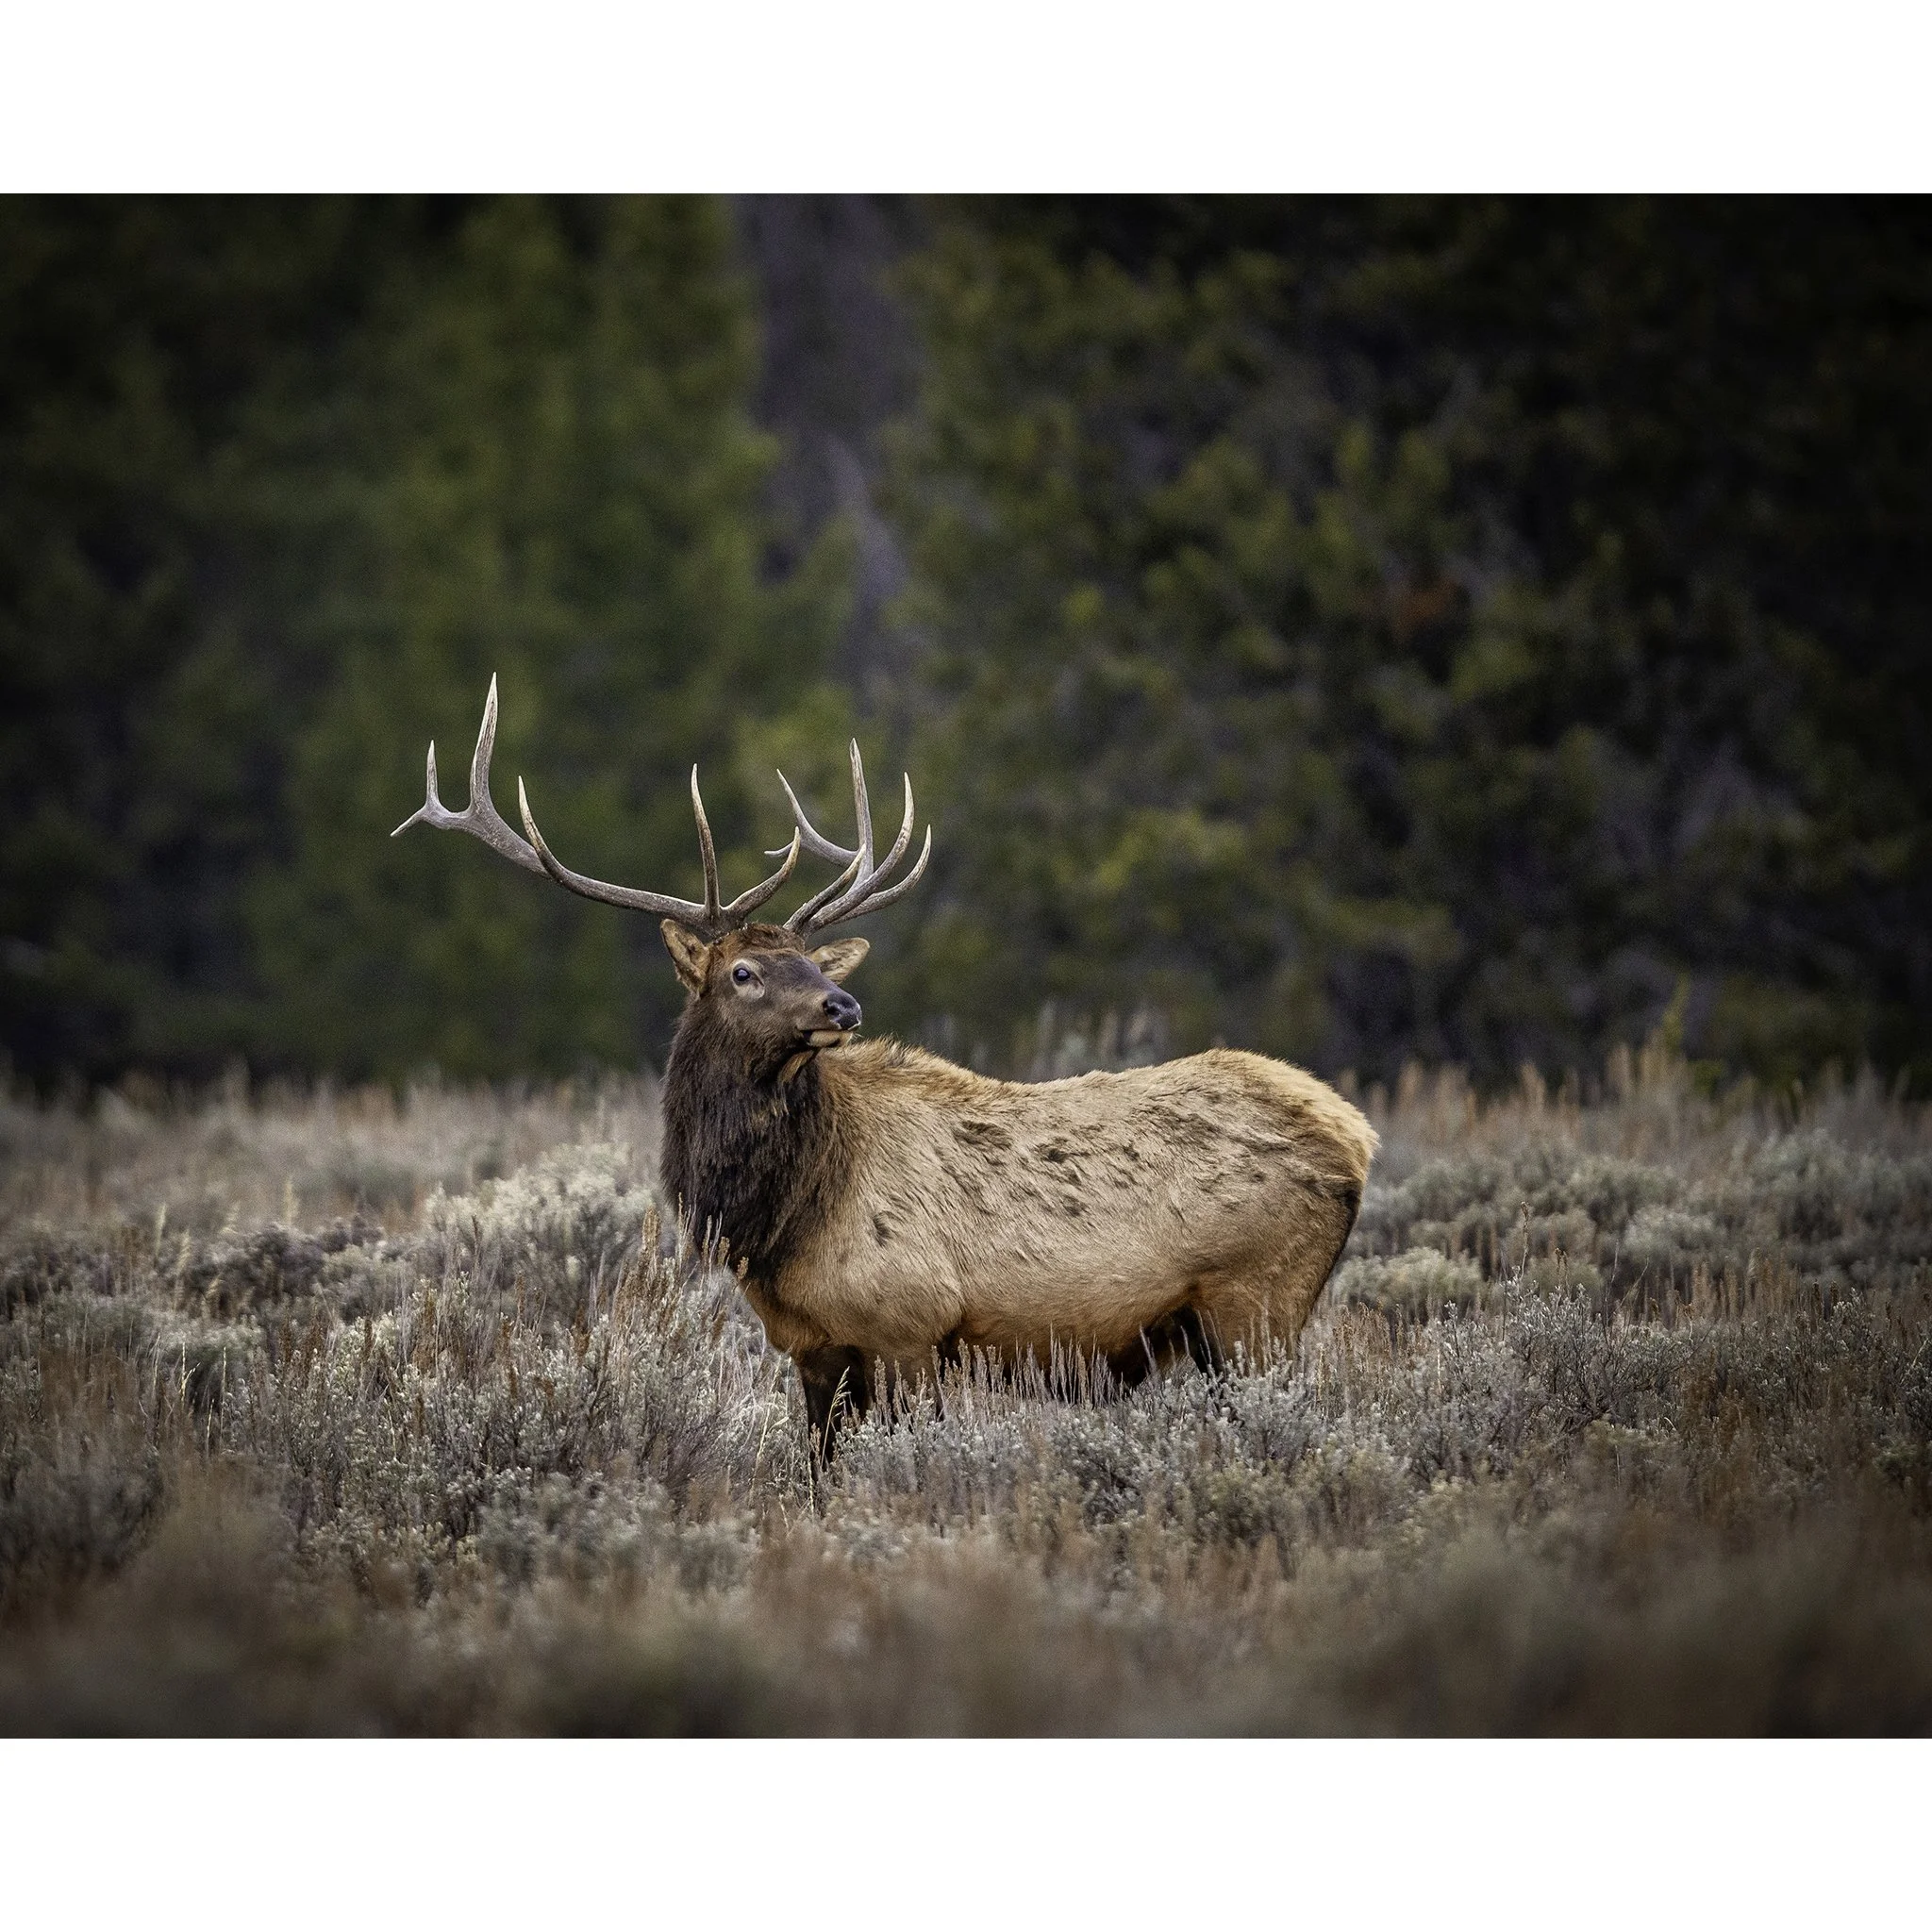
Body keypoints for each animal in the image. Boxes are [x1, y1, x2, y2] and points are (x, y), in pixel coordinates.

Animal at [396, 678, 1377, 1453]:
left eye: (810, 962)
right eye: (744, 972)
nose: (844, 1005)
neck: (778, 1219)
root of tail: (1357, 1137)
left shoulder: (910, 1325)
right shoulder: (813, 1346)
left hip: (1256, 1302)